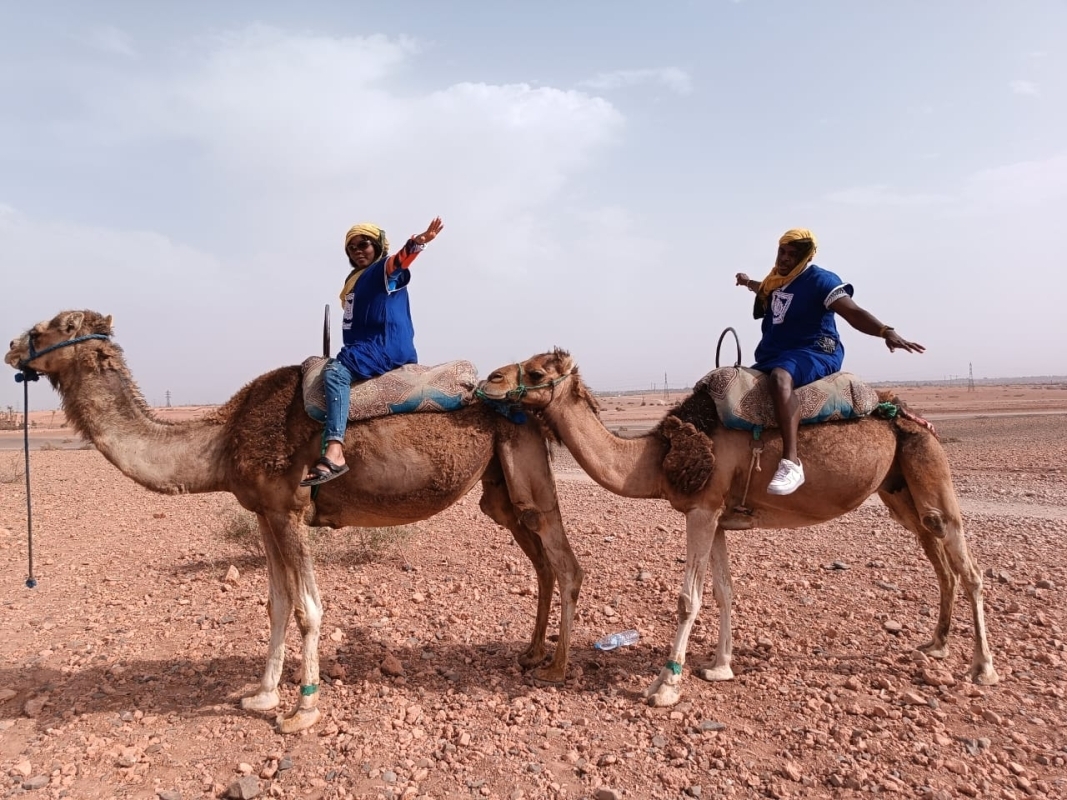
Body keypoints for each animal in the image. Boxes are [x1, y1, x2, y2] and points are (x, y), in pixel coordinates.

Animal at [5, 310, 584, 733]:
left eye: (51, 327)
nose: (11, 346)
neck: (222, 439)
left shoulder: (288, 510)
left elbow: (308, 607)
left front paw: (302, 710)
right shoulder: (263, 511)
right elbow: (276, 603)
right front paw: (261, 695)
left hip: (526, 468)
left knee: (564, 562)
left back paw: (555, 667)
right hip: (501, 491)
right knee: (541, 563)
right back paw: (531, 653)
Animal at [477, 349, 998, 707]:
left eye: (537, 373)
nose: (491, 378)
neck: (657, 457)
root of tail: (907, 414)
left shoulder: (702, 510)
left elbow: (688, 597)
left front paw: (666, 685)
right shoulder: (720, 517)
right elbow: (724, 591)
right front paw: (720, 666)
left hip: (929, 467)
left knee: (968, 566)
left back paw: (983, 669)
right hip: (898, 488)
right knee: (938, 553)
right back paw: (936, 645)